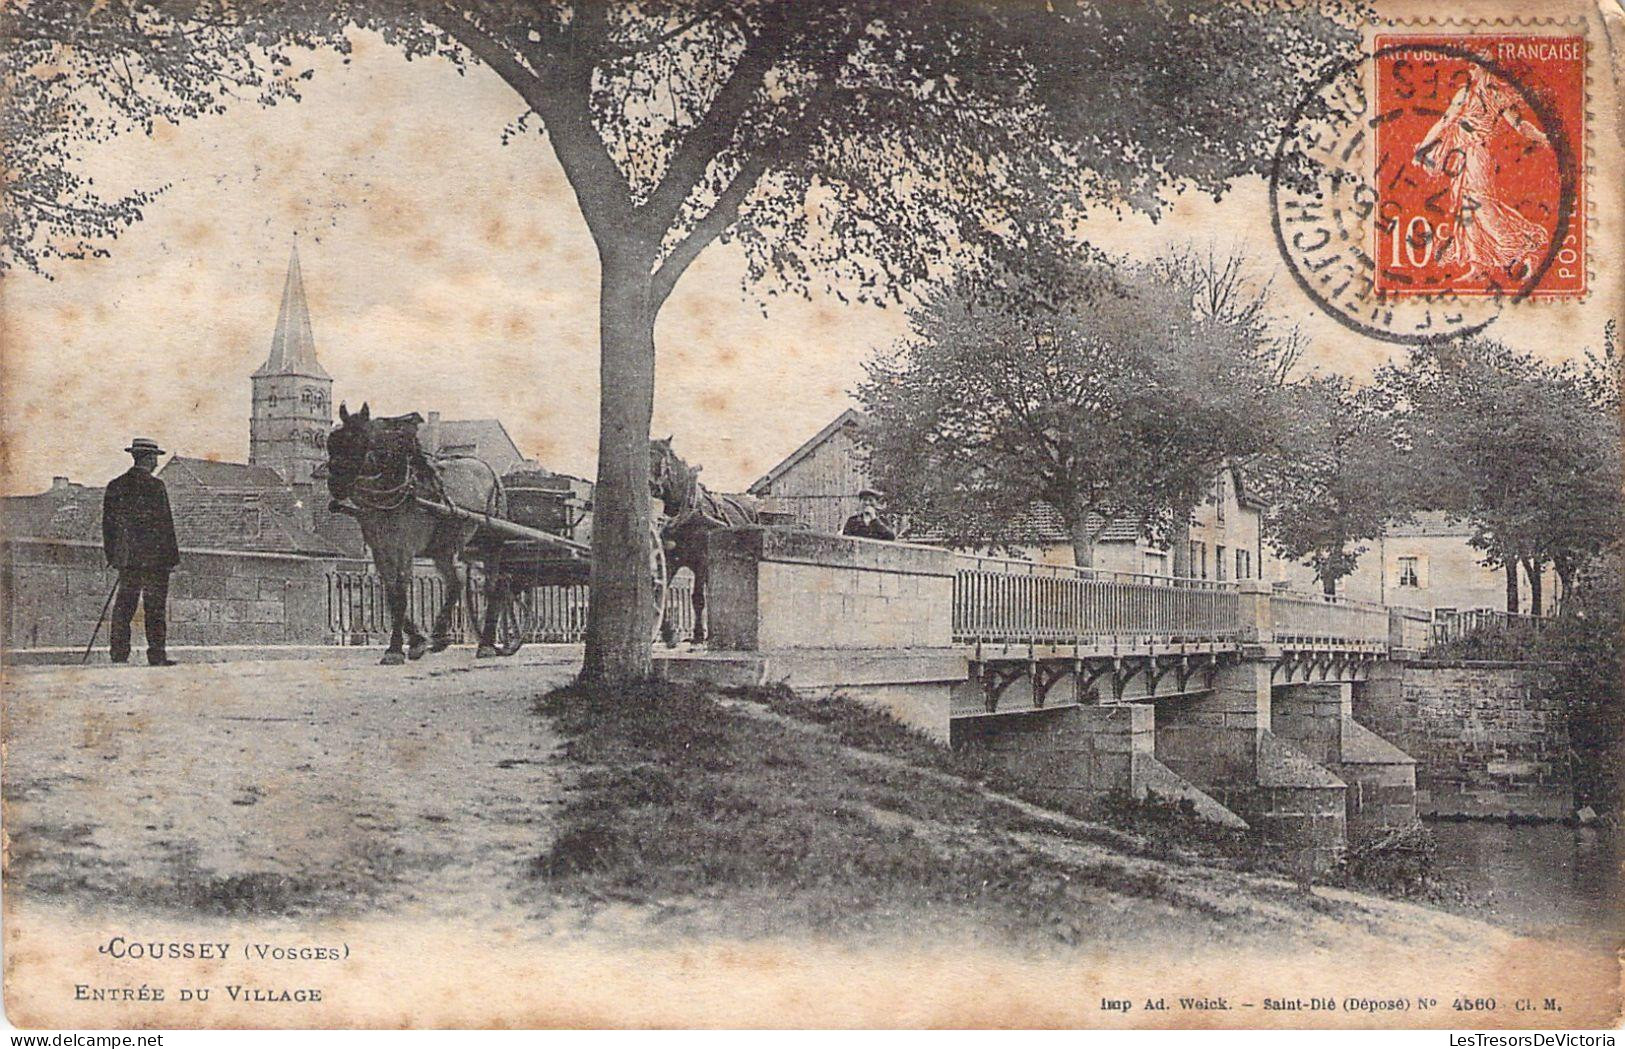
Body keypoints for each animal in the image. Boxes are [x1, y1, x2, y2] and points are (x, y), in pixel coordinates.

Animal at [326, 402, 503, 665]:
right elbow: (390, 594)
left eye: (360, 440)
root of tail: (490, 470)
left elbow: (400, 594)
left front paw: (395, 649)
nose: (335, 485)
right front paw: (417, 640)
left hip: (490, 544)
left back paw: (486, 644)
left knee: (492, 587)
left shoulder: (405, 548)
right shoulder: (380, 549)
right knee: (456, 583)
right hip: (443, 548)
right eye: (333, 440)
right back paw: (440, 636)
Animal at [646, 435, 760, 646]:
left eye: (661, 460)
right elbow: (664, 590)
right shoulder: (671, 559)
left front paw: (698, 635)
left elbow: (698, 598)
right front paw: (668, 631)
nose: (648, 486)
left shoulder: (701, 560)